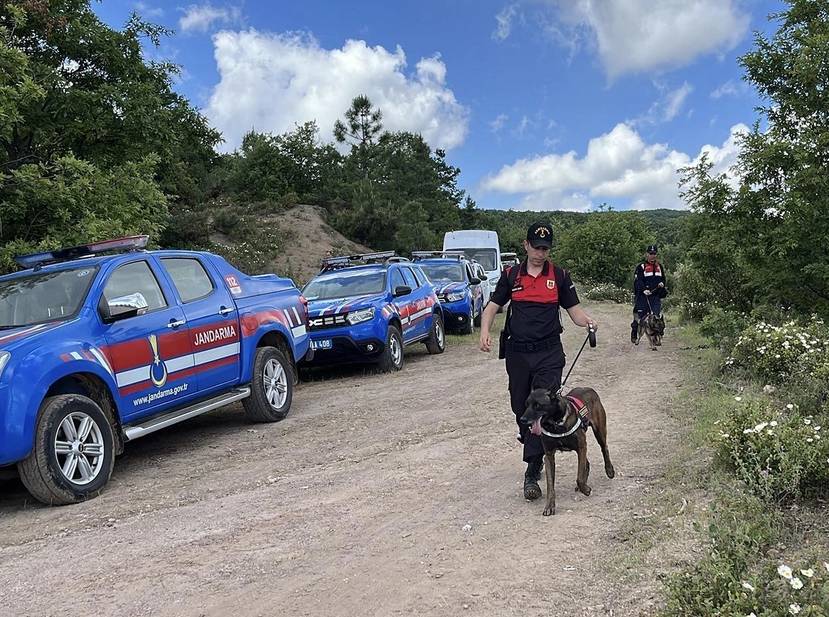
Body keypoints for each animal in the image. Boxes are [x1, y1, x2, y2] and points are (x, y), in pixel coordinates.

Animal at [516, 384, 616, 516]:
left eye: (537, 405)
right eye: (526, 404)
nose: (522, 419)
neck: (556, 423)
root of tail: (589, 389)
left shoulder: (581, 447)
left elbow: (579, 477)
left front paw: (586, 489)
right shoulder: (549, 456)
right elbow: (550, 485)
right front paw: (549, 506)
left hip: (599, 431)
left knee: (604, 448)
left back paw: (609, 470)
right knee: (586, 463)